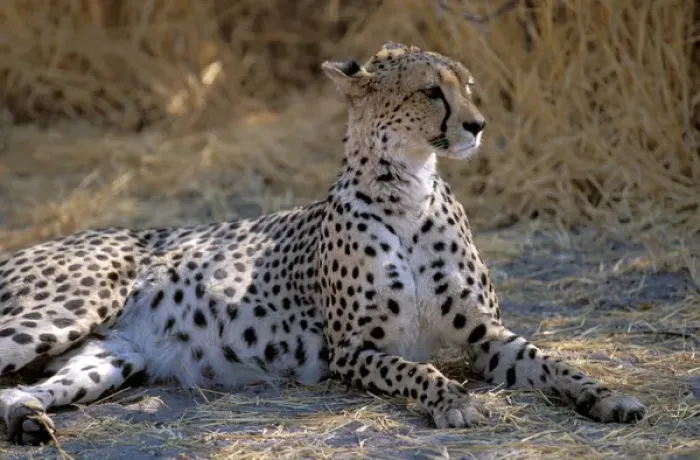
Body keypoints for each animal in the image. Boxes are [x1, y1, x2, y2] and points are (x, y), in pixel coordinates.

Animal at [0, 42, 644, 446]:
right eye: (432, 92)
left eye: (467, 87)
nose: (478, 125)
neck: (407, 190)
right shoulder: (353, 350)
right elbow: (418, 371)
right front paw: (455, 402)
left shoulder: (486, 337)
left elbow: (551, 361)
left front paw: (608, 397)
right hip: (66, 312)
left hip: (112, 357)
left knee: (21, 392)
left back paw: (28, 421)